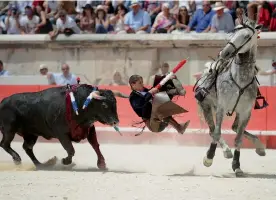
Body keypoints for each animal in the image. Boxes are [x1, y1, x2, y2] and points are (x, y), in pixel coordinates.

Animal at [0, 83, 128, 170]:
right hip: (9, 130)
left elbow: (95, 145)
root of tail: (3, 101)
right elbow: (70, 149)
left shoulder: (89, 128)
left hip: (31, 134)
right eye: (104, 105)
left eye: (115, 103)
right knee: (5, 144)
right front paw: (65, 161)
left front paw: (101, 163)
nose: (116, 121)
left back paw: (41, 165)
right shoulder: (61, 133)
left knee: (27, 147)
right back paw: (17, 159)